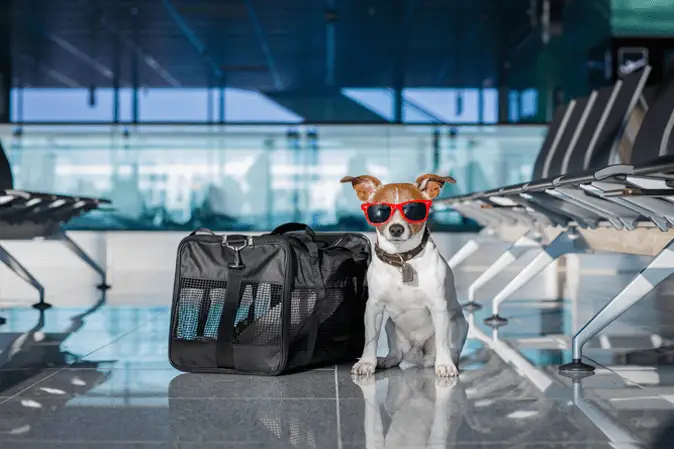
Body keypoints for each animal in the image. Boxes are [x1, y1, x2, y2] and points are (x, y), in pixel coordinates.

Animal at [338, 173, 464, 376]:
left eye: (412, 209)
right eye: (380, 210)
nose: (396, 229)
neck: (402, 259)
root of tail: (416, 354)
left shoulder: (438, 306)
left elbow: (442, 340)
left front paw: (445, 364)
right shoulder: (374, 307)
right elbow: (371, 338)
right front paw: (366, 362)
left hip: (457, 323)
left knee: (449, 349)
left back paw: (446, 362)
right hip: (390, 325)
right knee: (396, 355)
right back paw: (385, 361)